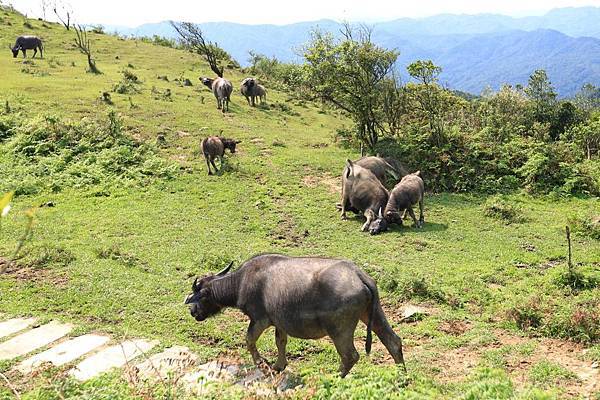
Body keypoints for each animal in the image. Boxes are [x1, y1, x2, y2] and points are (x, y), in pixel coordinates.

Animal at [185, 255, 406, 376]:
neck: (240, 283)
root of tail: (359, 275)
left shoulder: (260, 319)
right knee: (393, 341)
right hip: (373, 313)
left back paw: (335, 376)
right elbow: (280, 342)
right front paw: (279, 365)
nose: (192, 311)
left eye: (200, 295)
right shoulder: (280, 322)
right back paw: (401, 378)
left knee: (350, 355)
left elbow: (249, 340)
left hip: (339, 329)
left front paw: (261, 362)